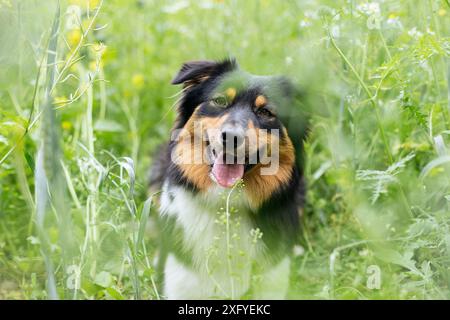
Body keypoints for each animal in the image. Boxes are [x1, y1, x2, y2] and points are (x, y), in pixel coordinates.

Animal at [149, 58, 308, 300]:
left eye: (266, 112)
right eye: (220, 101)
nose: (232, 137)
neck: (226, 205)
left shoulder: (271, 283)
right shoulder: (181, 284)